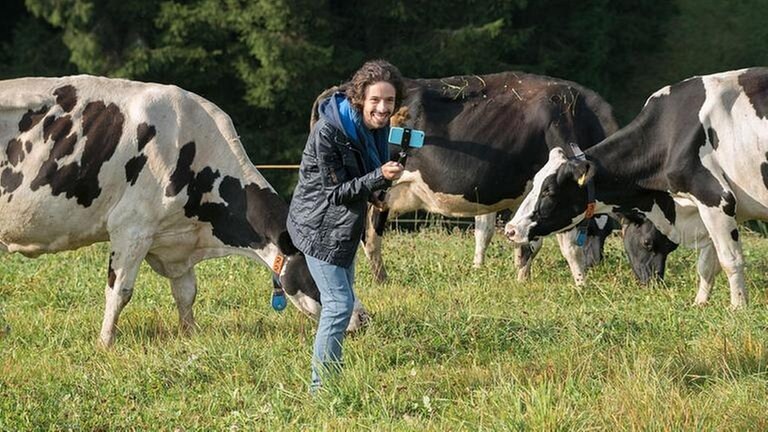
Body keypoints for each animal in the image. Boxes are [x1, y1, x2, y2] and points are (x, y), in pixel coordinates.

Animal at [0, 73, 368, 344]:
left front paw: (190, 335)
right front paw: (105, 343)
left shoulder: (176, 242)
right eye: (325, 270)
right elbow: (119, 292)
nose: (363, 318)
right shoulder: (132, 229)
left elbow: (187, 293)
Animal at [312, 71, 624, 286]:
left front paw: (504, 273)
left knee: (369, 235)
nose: (596, 265)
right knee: (367, 235)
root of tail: (339, 88)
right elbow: (564, 245)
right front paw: (579, 283)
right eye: (596, 230)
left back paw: (380, 280)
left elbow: (493, 233)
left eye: (608, 233)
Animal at [508, 68, 768, 308]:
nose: (511, 229)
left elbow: (730, 260)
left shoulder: (715, 198)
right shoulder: (710, 209)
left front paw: (738, 307)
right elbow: (707, 264)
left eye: (549, 191)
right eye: (535, 184)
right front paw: (700, 303)